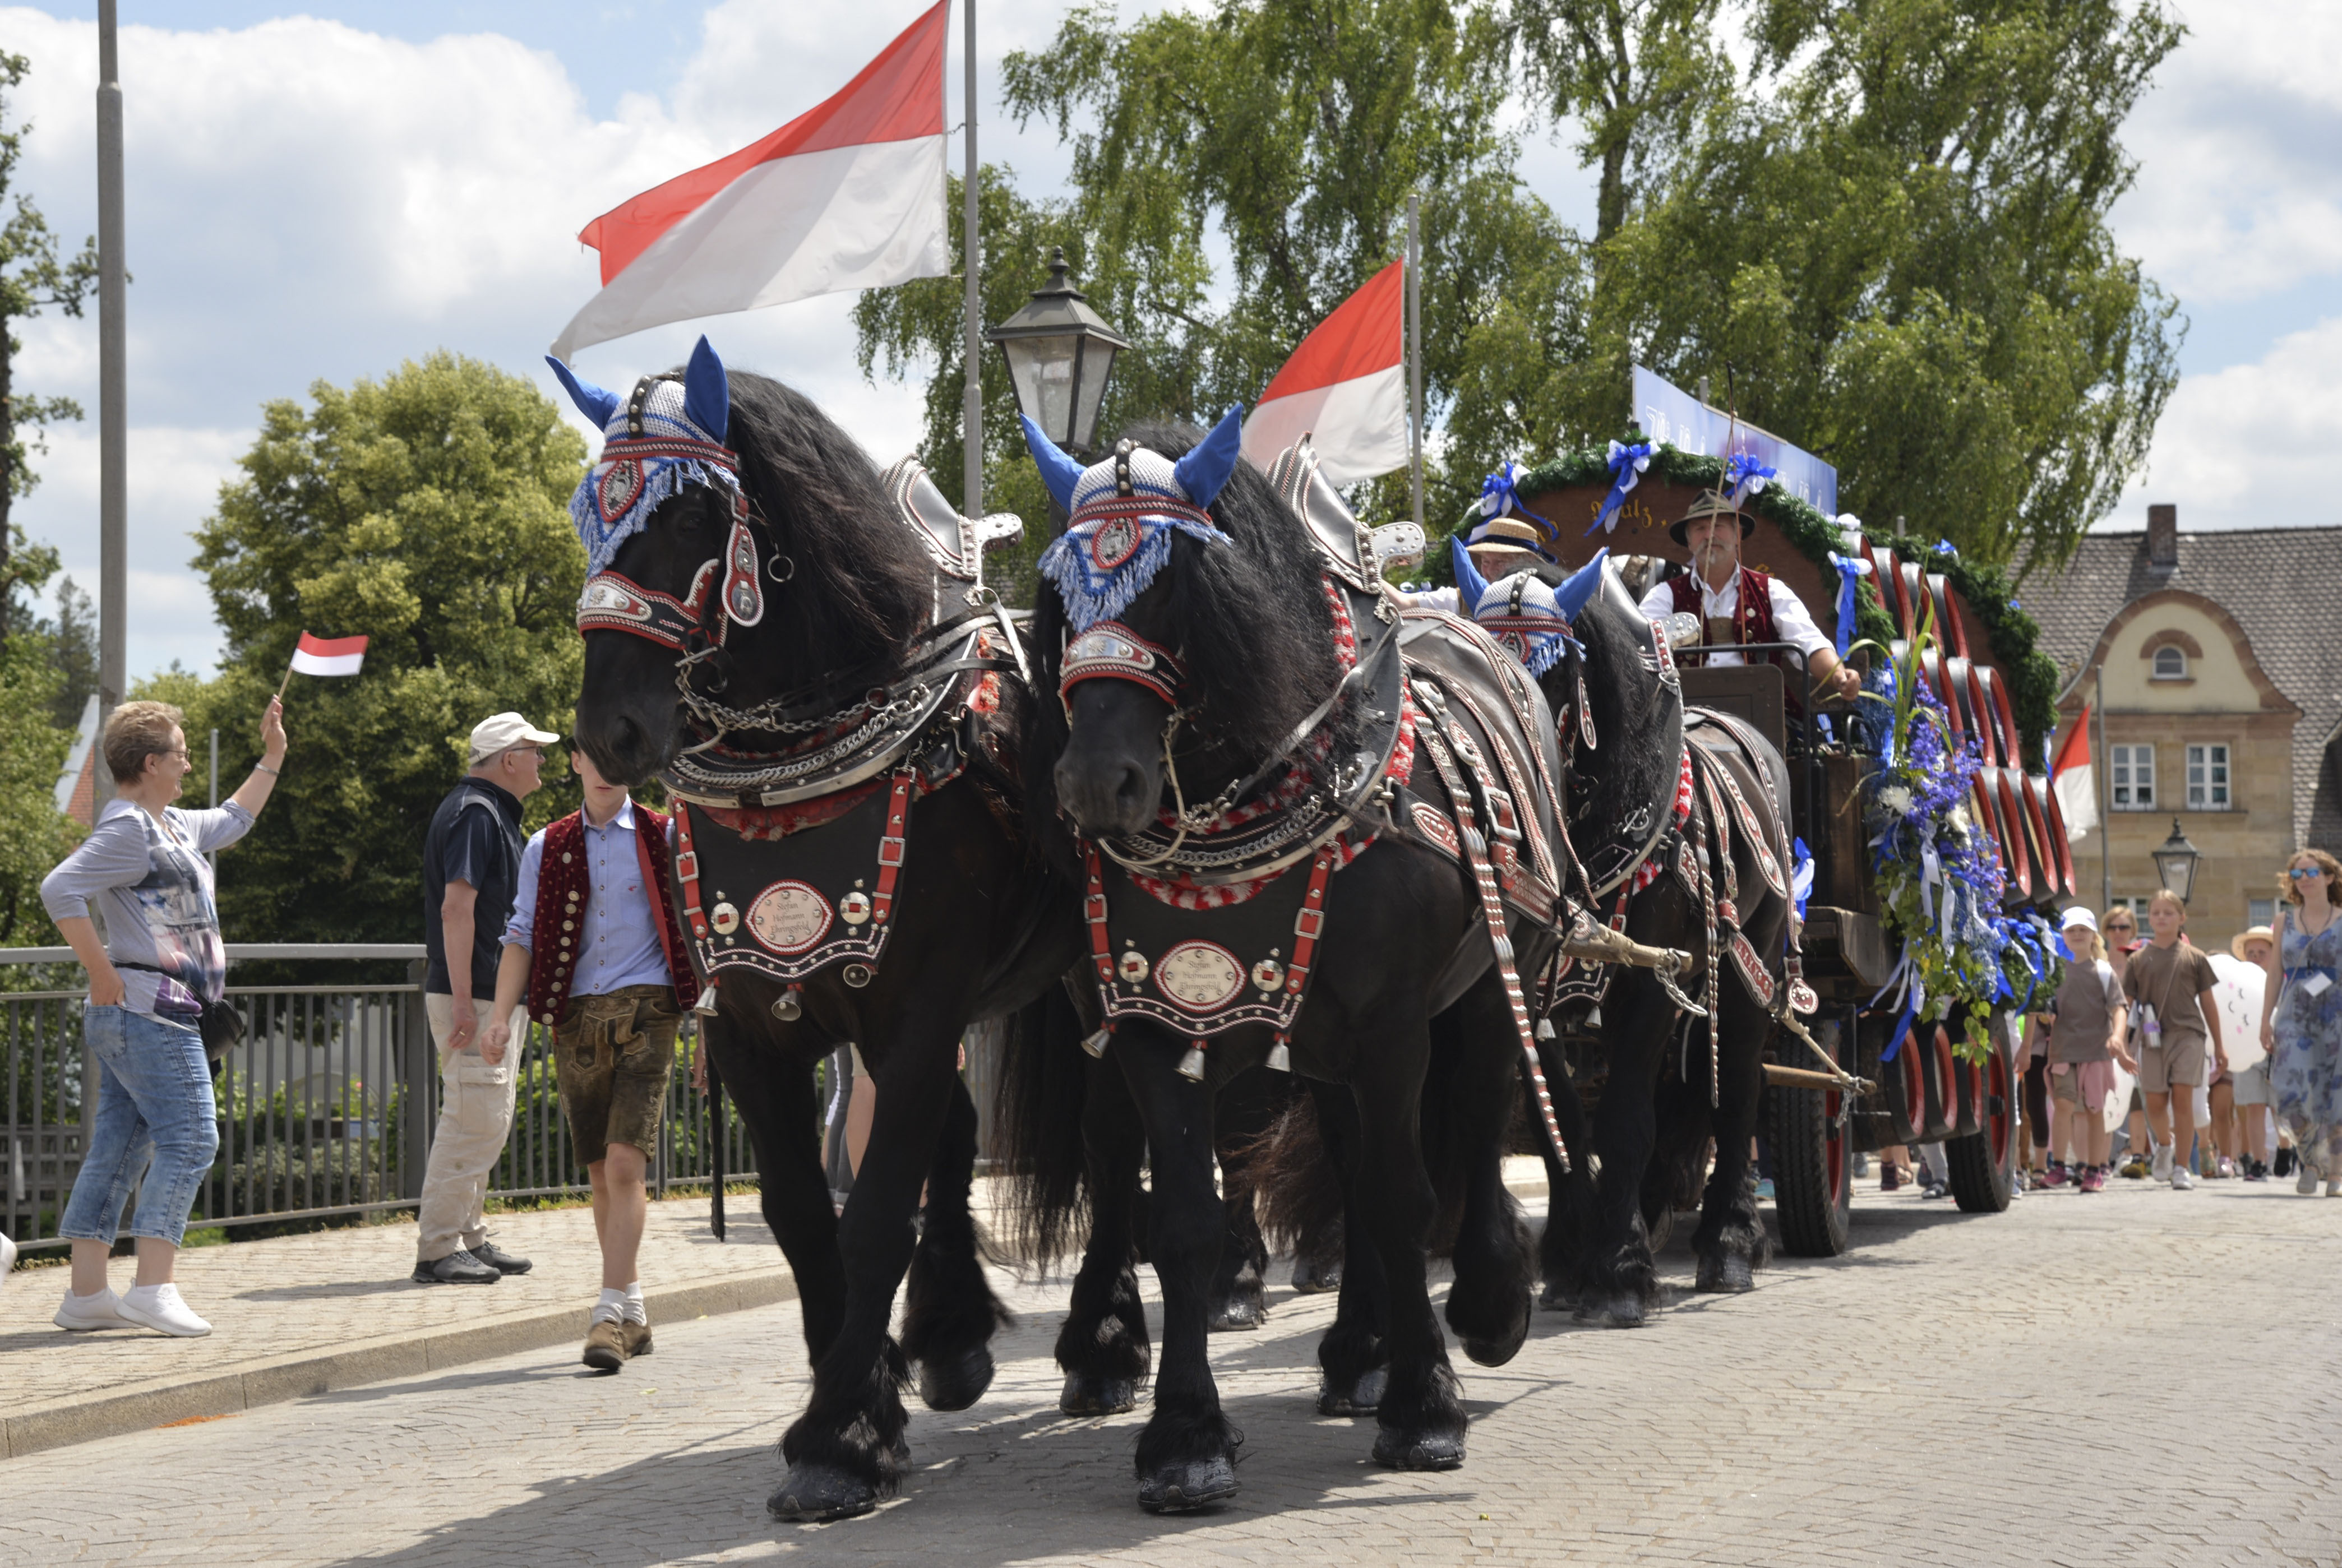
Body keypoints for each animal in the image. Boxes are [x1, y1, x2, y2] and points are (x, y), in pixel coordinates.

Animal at [562, 341, 1082, 1525]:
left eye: (691, 512)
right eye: (587, 513)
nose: (610, 728)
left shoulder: (915, 1011)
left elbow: (875, 1209)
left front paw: (841, 1436)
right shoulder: (755, 1026)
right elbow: (807, 1214)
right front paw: (866, 1396)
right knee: (957, 1134)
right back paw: (950, 1335)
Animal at [997, 414, 1564, 1507]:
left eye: (1177, 588)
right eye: (1061, 595)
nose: (1092, 782)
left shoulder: (1395, 1025)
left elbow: (1402, 1195)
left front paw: (1425, 1408)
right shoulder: (1151, 1019)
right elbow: (1184, 1217)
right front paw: (1184, 1436)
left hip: (1484, 984)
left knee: (1472, 1122)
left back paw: (1483, 1301)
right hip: (1308, 1042)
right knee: (1327, 1164)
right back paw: (1351, 1351)